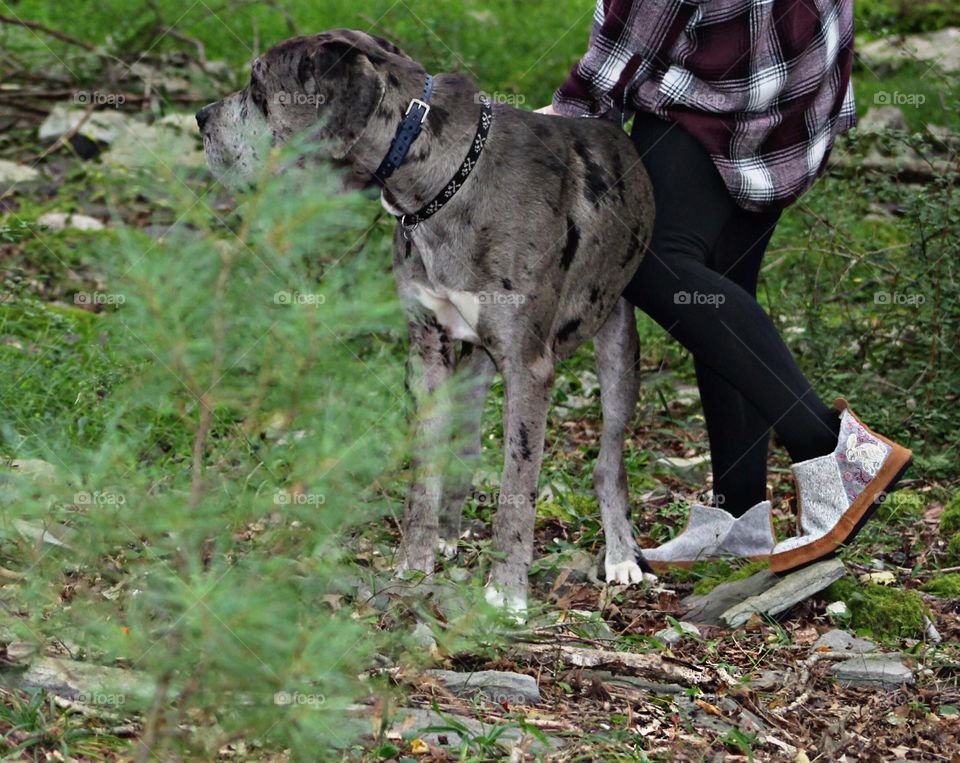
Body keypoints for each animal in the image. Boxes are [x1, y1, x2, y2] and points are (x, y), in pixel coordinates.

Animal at [198, 29, 656, 616]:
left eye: (258, 88)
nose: (200, 118)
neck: (444, 180)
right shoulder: (427, 356)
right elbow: (426, 472)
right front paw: (414, 564)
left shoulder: (529, 368)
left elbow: (517, 485)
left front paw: (507, 592)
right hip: (473, 364)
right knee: (465, 449)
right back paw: (449, 532)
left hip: (617, 342)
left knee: (609, 459)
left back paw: (621, 555)